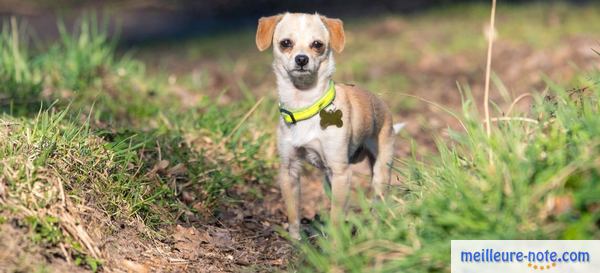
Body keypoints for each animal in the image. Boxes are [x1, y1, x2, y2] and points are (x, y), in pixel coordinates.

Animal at [255, 12, 400, 238]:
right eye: (286, 43)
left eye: (317, 45)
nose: (302, 59)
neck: (305, 104)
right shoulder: (289, 170)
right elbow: (293, 212)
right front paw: (296, 240)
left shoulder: (341, 172)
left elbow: (335, 217)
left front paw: (335, 243)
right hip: (328, 180)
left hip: (380, 171)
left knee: (378, 201)